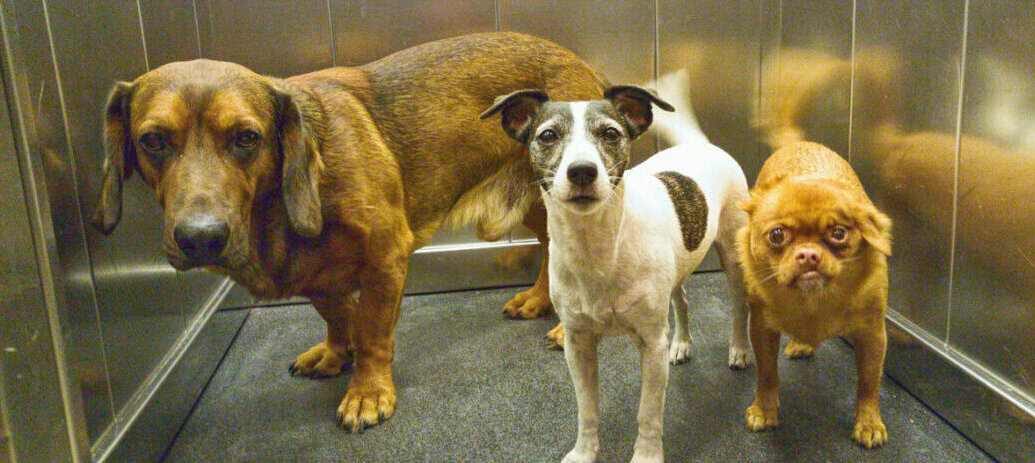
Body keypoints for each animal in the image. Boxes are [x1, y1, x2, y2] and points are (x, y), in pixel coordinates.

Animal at [93, 33, 604, 435]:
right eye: (152, 140)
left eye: (246, 137)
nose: (201, 238)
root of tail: (580, 62)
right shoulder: (315, 278)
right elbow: (339, 316)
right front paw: (337, 353)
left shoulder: (386, 259)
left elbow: (373, 331)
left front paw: (368, 392)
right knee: (550, 250)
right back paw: (538, 300)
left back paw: (565, 326)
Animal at [484, 77, 753, 461]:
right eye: (548, 135)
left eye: (610, 133)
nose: (582, 171)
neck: (596, 248)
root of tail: (701, 145)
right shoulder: (577, 344)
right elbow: (586, 409)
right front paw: (584, 452)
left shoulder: (651, 345)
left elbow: (649, 413)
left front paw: (646, 455)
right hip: (676, 270)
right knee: (682, 301)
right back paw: (682, 344)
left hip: (733, 256)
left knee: (739, 306)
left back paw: (740, 350)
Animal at [741, 141, 894, 449]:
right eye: (777, 235)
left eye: (838, 233)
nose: (809, 254)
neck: (812, 302)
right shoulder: (761, 329)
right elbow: (766, 374)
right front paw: (764, 410)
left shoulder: (873, 335)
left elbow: (869, 383)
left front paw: (868, 423)